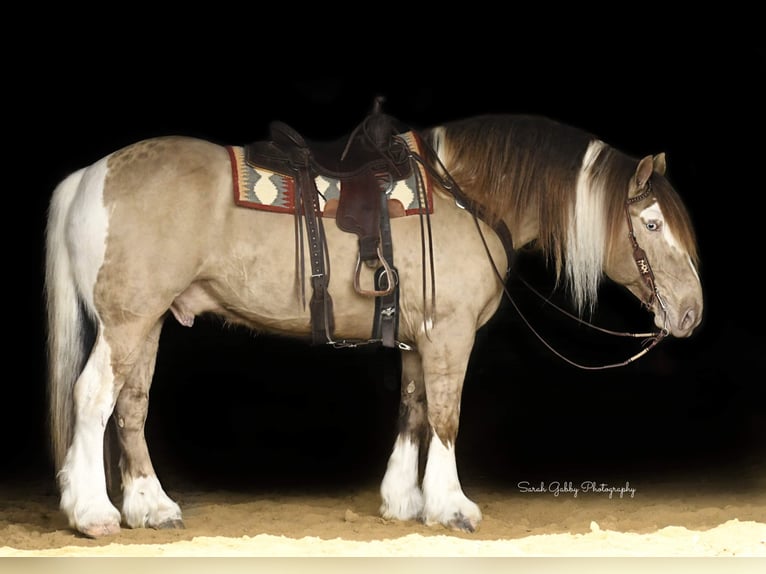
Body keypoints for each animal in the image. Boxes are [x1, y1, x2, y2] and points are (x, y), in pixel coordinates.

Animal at [43, 107, 704, 540]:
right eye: (651, 224)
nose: (692, 312)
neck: (466, 194)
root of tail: (90, 175)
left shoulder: (419, 339)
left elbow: (412, 409)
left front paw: (404, 502)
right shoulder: (449, 335)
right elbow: (445, 417)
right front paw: (452, 506)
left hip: (148, 321)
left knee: (130, 406)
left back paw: (151, 508)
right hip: (127, 323)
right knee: (94, 397)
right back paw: (93, 514)